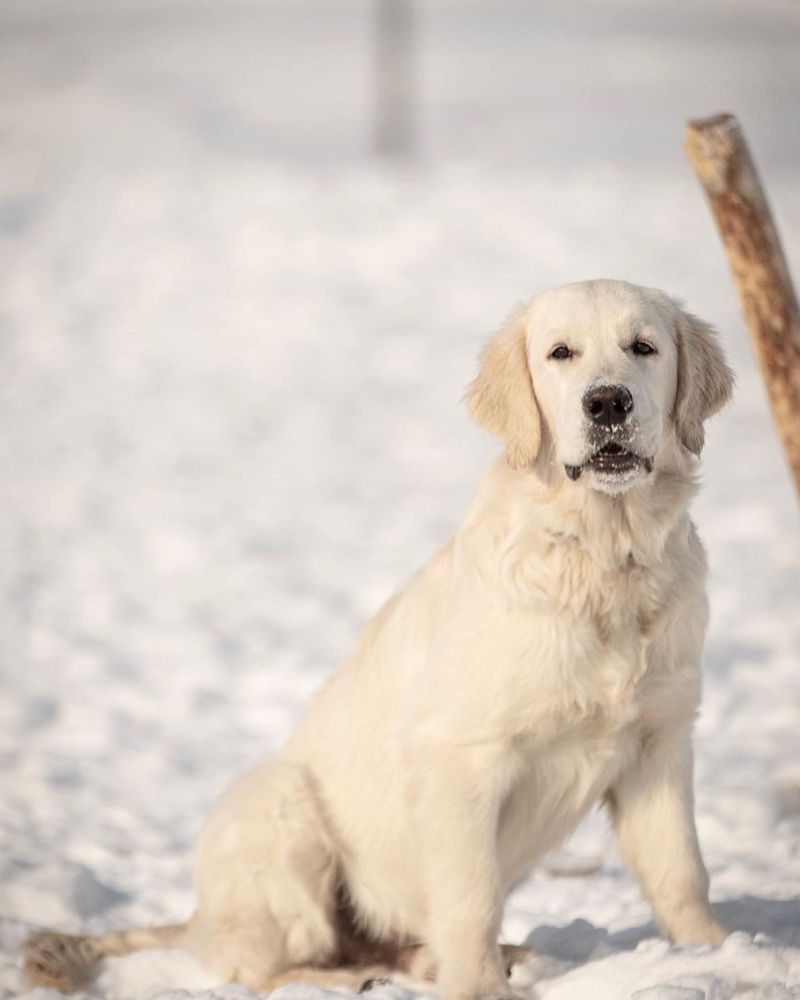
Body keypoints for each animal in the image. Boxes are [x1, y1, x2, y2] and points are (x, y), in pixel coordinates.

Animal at [28, 280, 736, 1000]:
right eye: (560, 353)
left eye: (643, 348)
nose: (608, 402)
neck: (604, 555)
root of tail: (196, 917)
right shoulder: (464, 760)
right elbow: (471, 896)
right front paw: (480, 989)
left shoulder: (658, 743)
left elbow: (681, 868)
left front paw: (713, 953)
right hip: (281, 804)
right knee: (258, 966)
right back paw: (352, 975)